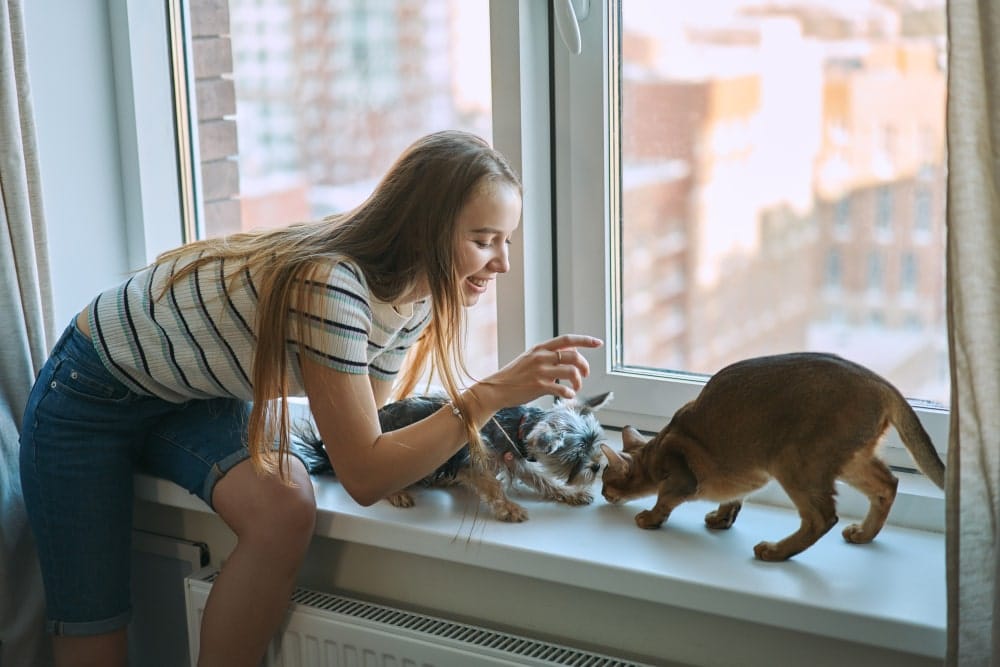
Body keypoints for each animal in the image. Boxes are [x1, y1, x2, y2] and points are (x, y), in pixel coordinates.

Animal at [600, 352, 944, 560]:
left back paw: (776, 552)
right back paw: (863, 534)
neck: (656, 449)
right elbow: (733, 499)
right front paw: (722, 518)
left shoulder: (681, 477)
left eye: (604, 480)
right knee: (888, 484)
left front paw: (649, 518)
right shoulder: (742, 477)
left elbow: (665, 499)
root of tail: (882, 384)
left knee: (823, 517)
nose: (602, 494)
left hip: (794, 460)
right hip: (849, 460)